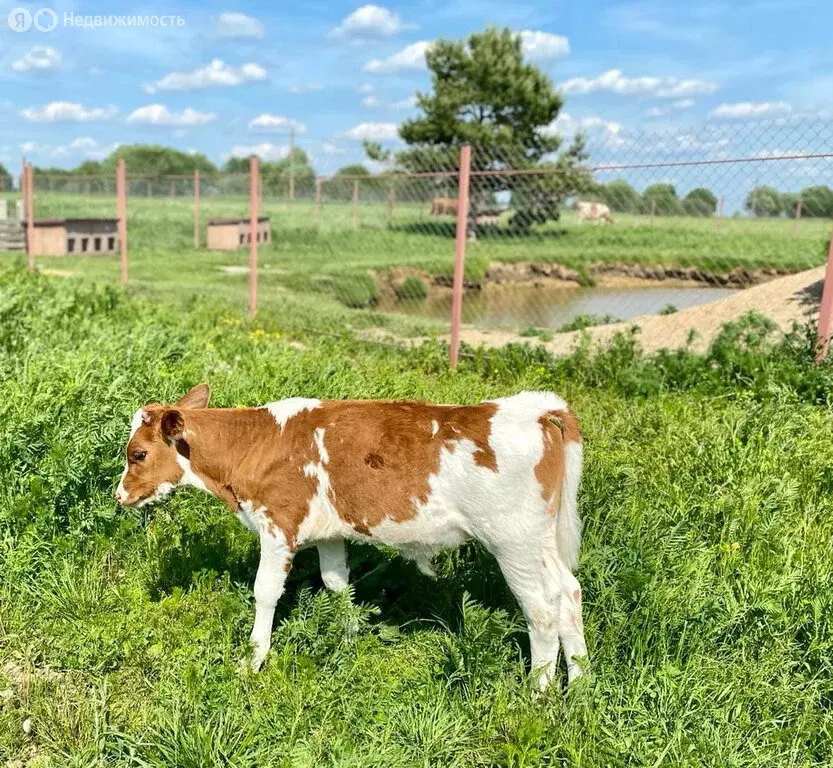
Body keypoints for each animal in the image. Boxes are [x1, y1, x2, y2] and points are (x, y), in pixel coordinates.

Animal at [115, 384, 584, 688]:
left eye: (137, 454)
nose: (120, 495)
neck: (255, 443)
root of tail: (530, 408)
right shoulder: (328, 532)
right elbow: (337, 584)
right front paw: (348, 641)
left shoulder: (278, 526)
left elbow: (265, 592)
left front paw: (252, 661)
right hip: (541, 542)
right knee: (569, 594)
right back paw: (579, 683)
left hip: (512, 541)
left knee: (542, 609)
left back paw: (538, 692)